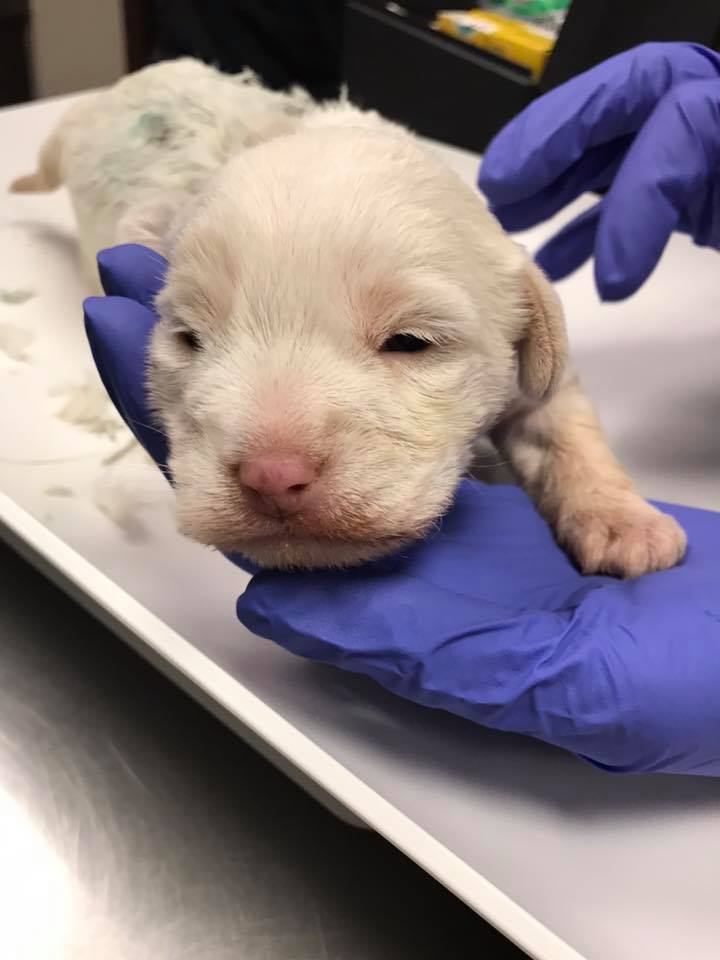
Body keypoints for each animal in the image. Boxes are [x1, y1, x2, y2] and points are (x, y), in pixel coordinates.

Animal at [11, 60, 688, 572]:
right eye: (189, 339)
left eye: (411, 342)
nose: (271, 477)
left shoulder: (531, 362)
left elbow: (563, 429)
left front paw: (627, 528)